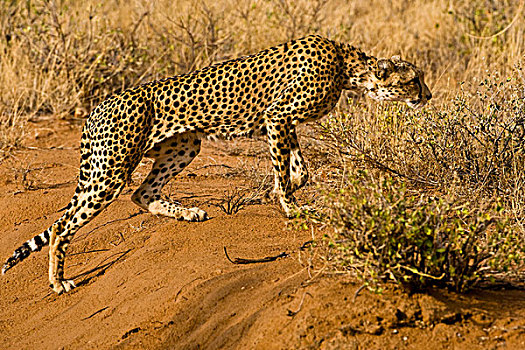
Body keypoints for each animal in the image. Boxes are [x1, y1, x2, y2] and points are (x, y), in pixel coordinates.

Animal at [3, 35, 430, 294]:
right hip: (111, 170)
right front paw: (290, 206)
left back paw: (186, 213)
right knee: (62, 225)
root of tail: (99, 106)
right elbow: (286, 169)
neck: (346, 66)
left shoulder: (282, 122)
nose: (427, 94)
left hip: (184, 144)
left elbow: (298, 167)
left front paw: (287, 191)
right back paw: (58, 281)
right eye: (414, 79)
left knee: (143, 193)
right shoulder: (278, 115)